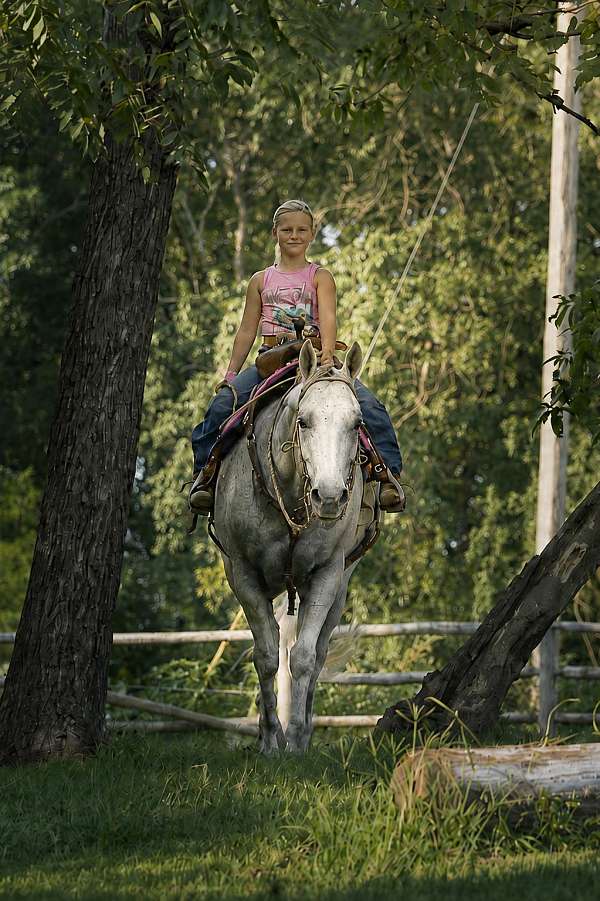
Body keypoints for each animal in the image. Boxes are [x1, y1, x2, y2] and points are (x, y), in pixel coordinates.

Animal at [213, 339, 377, 752]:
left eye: (357, 423)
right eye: (303, 420)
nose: (330, 497)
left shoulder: (326, 575)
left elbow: (302, 657)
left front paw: (297, 739)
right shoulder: (243, 574)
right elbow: (266, 656)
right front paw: (271, 738)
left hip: (339, 586)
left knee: (316, 653)